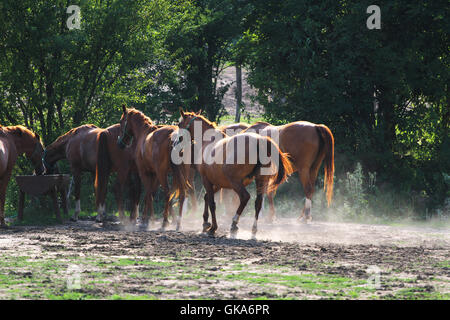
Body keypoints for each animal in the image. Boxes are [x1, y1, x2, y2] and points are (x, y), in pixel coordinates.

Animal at [178, 110, 294, 238]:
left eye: (179, 124)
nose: (176, 142)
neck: (209, 143)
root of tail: (259, 141)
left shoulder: (207, 180)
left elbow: (212, 203)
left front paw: (212, 228)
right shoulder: (218, 183)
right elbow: (206, 197)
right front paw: (205, 223)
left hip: (236, 182)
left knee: (245, 197)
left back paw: (234, 224)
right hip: (260, 181)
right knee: (258, 203)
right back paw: (253, 229)